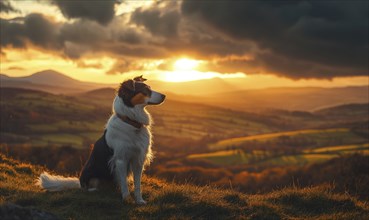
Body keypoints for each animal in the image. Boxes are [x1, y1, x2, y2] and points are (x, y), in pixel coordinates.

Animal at [37, 75, 164, 205]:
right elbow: (124, 184)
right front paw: (126, 199)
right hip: (93, 178)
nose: (164, 96)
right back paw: (96, 191)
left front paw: (139, 200)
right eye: (145, 90)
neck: (131, 123)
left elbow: (137, 185)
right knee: (88, 189)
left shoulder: (138, 159)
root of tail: (80, 182)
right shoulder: (121, 159)